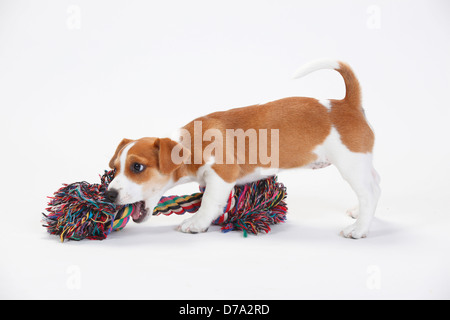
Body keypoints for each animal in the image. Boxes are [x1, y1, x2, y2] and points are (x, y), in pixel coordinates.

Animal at [105, 60, 380, 239]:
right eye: (115, 169)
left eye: (137, 167)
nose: (108, 194)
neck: (189, 143)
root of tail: (348, 103)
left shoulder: (221, 176)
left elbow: (208, 202)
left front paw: (196, 223)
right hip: (362, 163)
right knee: (375, 185)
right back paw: (362, 216)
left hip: (351, 164)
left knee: (368, 193)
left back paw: (359, 229)